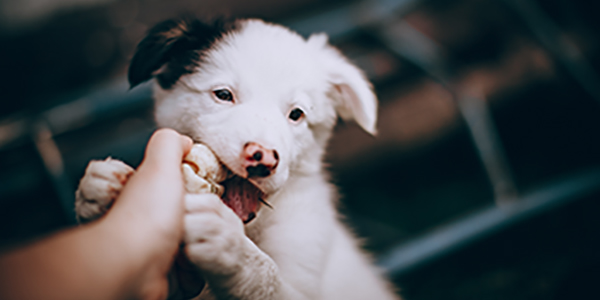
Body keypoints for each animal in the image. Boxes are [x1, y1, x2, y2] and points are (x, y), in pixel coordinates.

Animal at [76, 17, 398, 300]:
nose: (263, 159)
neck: (252, 227)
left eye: (296, 114)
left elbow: (270, 276)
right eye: (222, 94)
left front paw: (231, 247)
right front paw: (99, 190)